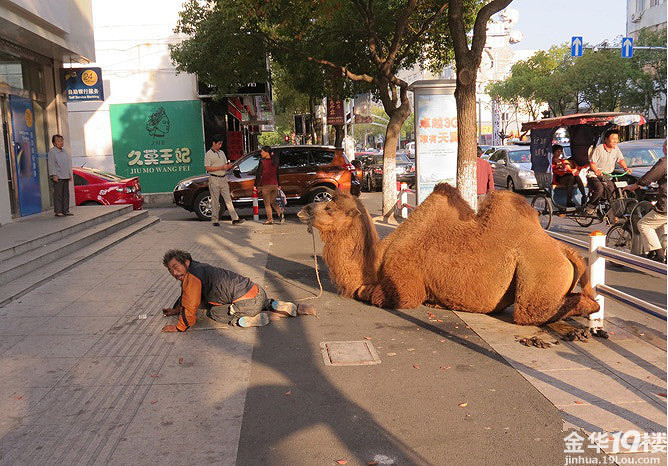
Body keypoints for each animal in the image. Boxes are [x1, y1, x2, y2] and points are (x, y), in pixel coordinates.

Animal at [298, 184, 600, 326]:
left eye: (329, 208)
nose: (304, 210)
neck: (377, 260)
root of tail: (566, 249)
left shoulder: (405, 285)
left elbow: (372, 294)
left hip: (539, 270)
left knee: (538, 311)